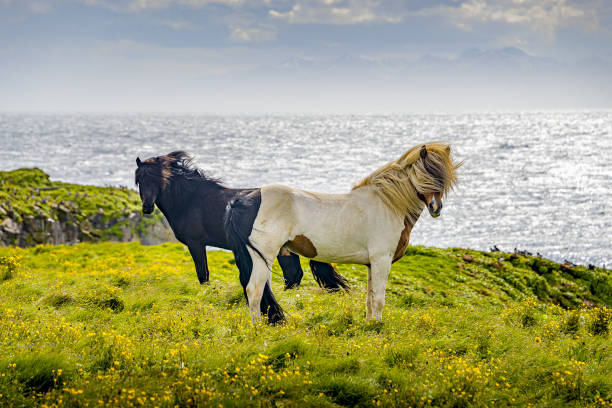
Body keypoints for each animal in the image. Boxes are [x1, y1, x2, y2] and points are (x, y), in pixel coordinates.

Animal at [133, 152, 350, 290]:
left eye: (158, 179)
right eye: (139, 180)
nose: (147, 207)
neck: (190, 200)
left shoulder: (196, 243)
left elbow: (203, 275)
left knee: (293, 274)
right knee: (293, 275)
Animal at [224, 142, 460, 324]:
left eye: (443, 177)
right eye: (425, 175)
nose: (435, 208)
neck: (388, 204)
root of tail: (245, 198)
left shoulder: (371, 264)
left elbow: (370, 297)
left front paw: (370, 324)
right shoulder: (381, 260)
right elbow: (379, 298)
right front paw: (378, 327)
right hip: (262, 256)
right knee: (254, 290)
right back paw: (257, 328)